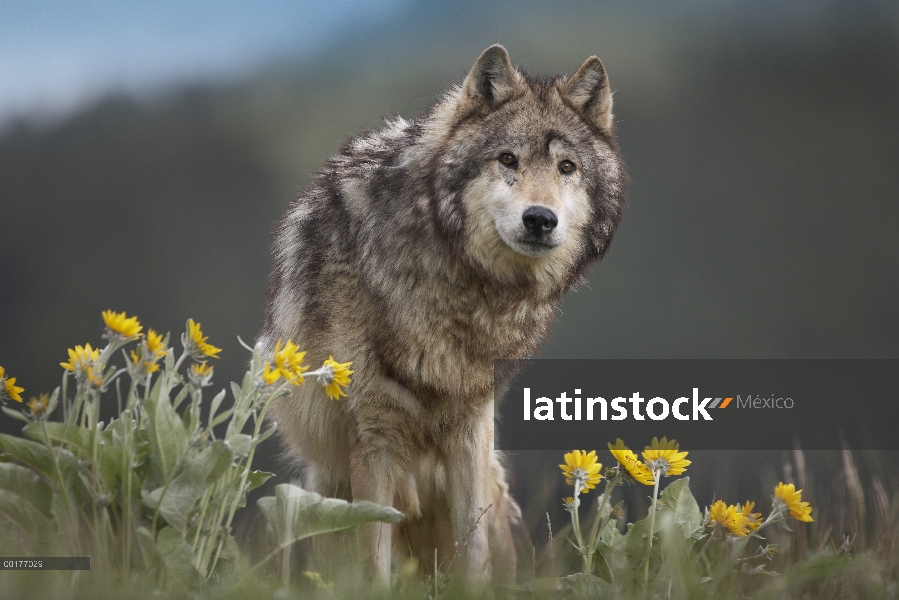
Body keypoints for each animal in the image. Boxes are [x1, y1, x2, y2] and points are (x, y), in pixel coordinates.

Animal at [258, 43, 624, 584]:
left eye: (566, 167)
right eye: (507, 159)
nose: (540, 219)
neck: (461, 287)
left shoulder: (472, 427)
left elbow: (474, 554)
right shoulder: (375, 437)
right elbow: (374, 559)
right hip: (324, 493)